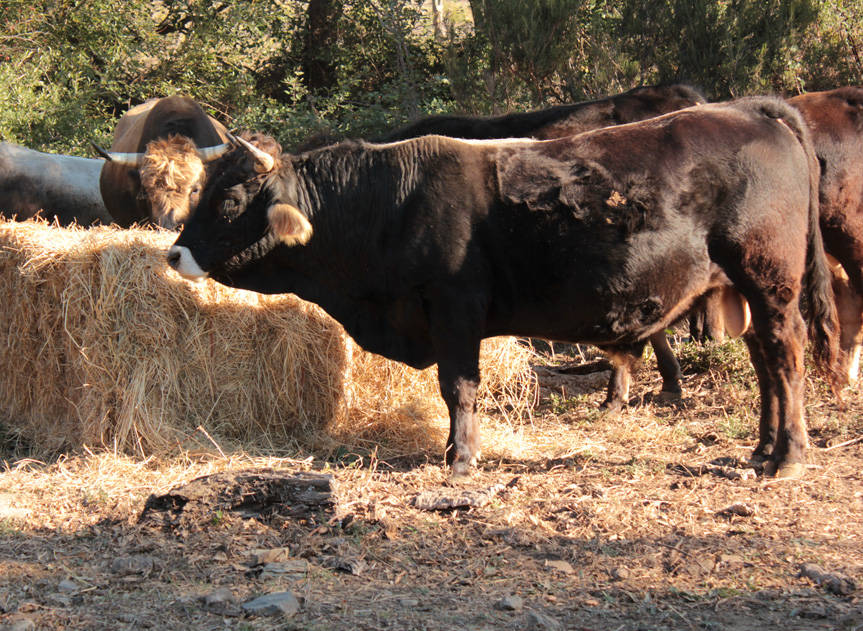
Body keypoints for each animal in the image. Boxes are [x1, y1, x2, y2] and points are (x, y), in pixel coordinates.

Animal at [170, 97, 844, 478]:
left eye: (227, 199)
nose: (175, 253)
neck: (386, 202)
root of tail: (750, 110)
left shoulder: (453, 311)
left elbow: (459, 388)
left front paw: (461, 459)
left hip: (771, 282)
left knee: (785, 358)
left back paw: (788, 459)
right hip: (744, 291)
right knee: (764, 364)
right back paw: (761, 451)